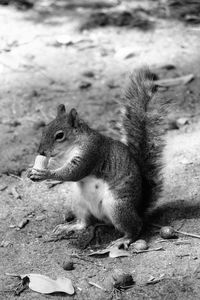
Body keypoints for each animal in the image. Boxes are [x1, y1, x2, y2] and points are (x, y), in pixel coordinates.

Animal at [28, 68, 165, 248]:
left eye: (59, 136)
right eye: (44, 129)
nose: (41, 151)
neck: (69, 148)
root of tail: (138, 207)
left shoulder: (92, 152)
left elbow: (74, 173)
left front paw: (44, 174)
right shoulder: (63, 158)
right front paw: (33, 169)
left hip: (116, 206)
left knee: (136, 226)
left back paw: (124, 239)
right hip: (78, 201)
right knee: (85, 223)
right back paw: (70, 227)